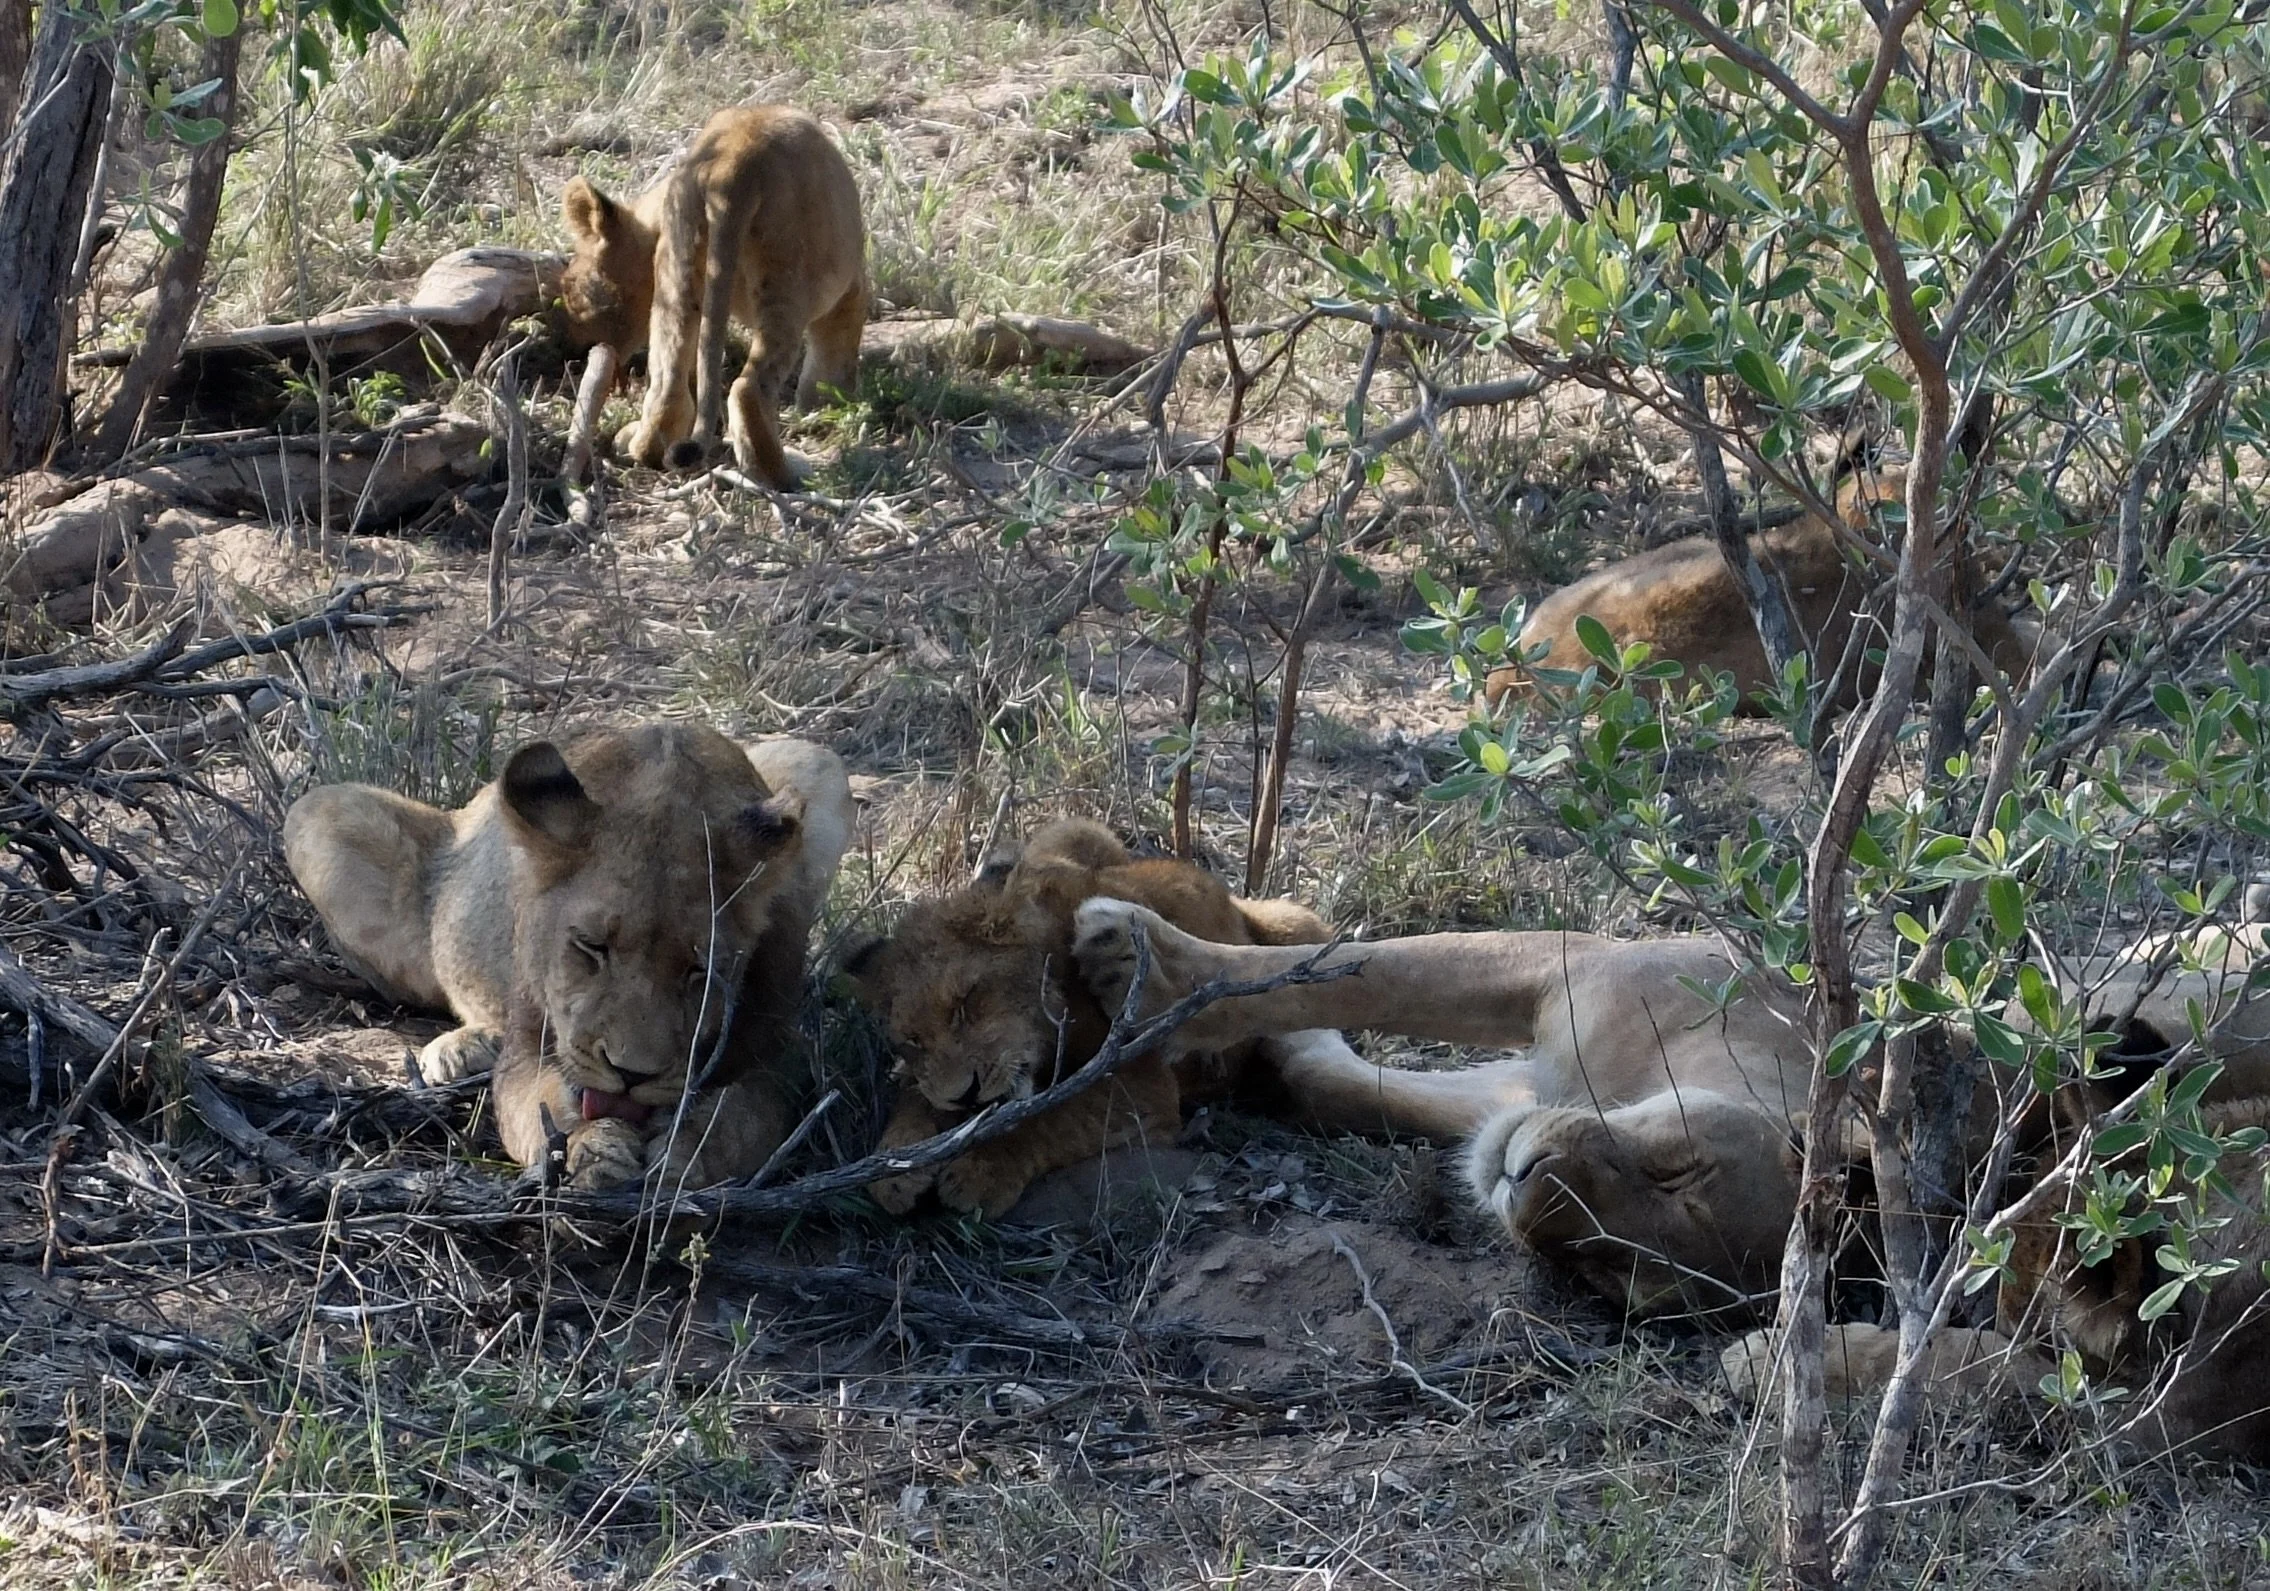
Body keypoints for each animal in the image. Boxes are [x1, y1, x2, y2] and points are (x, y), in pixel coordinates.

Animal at [284, 724, 852, 1193]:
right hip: (317, 812)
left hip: (813, 760)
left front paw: (684, 1154)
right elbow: (546, 1107)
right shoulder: (525, 1051)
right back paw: (464, 1048)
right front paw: (593, 1149)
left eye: (699, 970)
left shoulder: (777, 1052)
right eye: (590, 946)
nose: (630, 1074)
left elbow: (743, 1117)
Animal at [561, 104, 867, 489]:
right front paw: (828, 405)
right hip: (788, 280)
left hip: (678, 278)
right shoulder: (848, 290)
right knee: (748, 388)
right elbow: (833, 360)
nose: (573, 350)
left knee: (667, 392)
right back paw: (787, 474)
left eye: (571, 292)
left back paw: (638, 444)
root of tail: (732, 164)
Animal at [843, 818, 1363, 1219]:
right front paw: (897, 1166)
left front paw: (980, 1171)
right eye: (911, 1041)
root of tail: (1225, 891)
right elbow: (915, 1096)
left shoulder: (1141, 1081)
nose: (963, 1094)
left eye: (966, 1001)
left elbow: (1049, 1117)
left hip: (1294, 927)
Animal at [1069, 900, 1817, 1317]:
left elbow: (1341, 1079)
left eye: (1607, 1270)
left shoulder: (1520, 1088)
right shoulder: (1575, 965)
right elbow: (1371, 973)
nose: (1524, 1182)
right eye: (1676, 1171)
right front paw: (1147, 970)